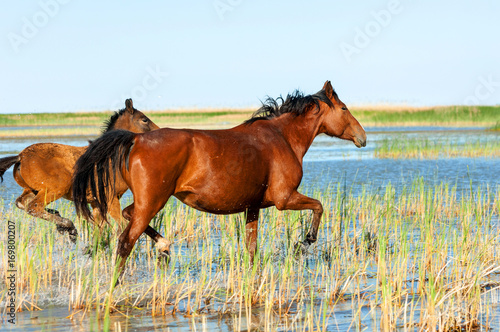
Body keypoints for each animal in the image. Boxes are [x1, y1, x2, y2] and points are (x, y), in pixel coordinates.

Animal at [0, 98, 160, 241]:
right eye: (144, 120)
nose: (158, 133)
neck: (110, 157)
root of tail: (20, 157)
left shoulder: (96, 203)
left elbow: (99, 231)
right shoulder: (111, 198)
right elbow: (122, 226)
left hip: (32, 190)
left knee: (21, 203)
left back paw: (62, 221)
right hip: (55, 189)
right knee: (33, 207)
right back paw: (68, 226)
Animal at [72, 81, 366, 280]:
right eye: (344, 108)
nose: (362, 137)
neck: (282, 137)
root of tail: (136, 139)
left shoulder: (253, 208)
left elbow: (251, 248)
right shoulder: (285, 199)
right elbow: (319, 207)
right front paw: (305, 242)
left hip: (147, 203)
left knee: (126, 215)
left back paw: (163, 246)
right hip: (152, 203)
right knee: (125, 242)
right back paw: (116, 285)